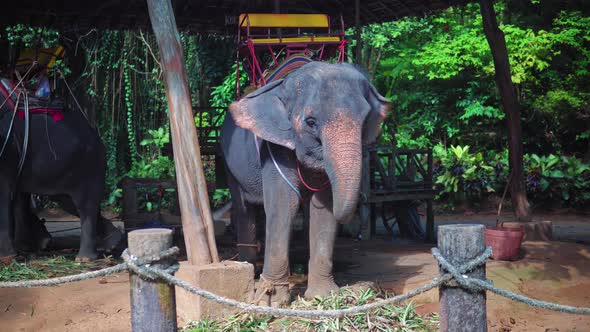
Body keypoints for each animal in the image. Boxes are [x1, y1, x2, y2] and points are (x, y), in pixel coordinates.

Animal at [0, 91, 121, 262]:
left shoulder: (6, 152)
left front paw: (7, 258)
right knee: (67, 200)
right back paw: (111, 243)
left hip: (87, 165)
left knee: (85, 205)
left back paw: (84, 258)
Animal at [220, 62, 390, 306]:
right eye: (311, 122)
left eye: (366, 119)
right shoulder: (274, 149)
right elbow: (284, 205)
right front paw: (270, 300)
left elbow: (323, 209)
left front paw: (324, 296)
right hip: (227, 161)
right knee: (243, 207)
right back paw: (249, 267)